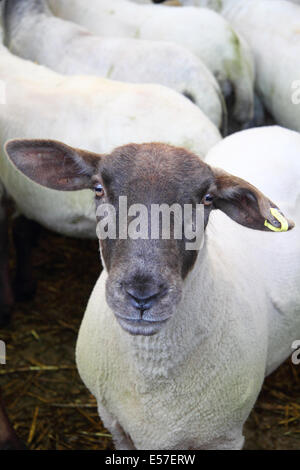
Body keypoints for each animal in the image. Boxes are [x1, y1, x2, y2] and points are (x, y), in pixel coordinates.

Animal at [3, 125, 298, 448]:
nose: (142, 293)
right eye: (98, 189)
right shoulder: (112, 420)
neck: (150, 372)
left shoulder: (224, 437)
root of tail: (276, 129)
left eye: (207, 199)